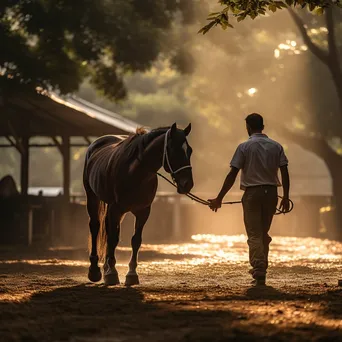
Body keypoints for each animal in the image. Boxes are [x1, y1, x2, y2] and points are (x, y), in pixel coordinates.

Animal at [83, 123, 194, 286]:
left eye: (189, 150)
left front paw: (131, 274)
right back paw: (95, 271)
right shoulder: (116, 209)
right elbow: (113, 239)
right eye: (174, 150)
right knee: (95, 227)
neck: (136, 172)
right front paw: (111, 273)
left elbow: (135, 240)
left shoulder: (143, 211)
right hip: (93, 198)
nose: (188, 184)